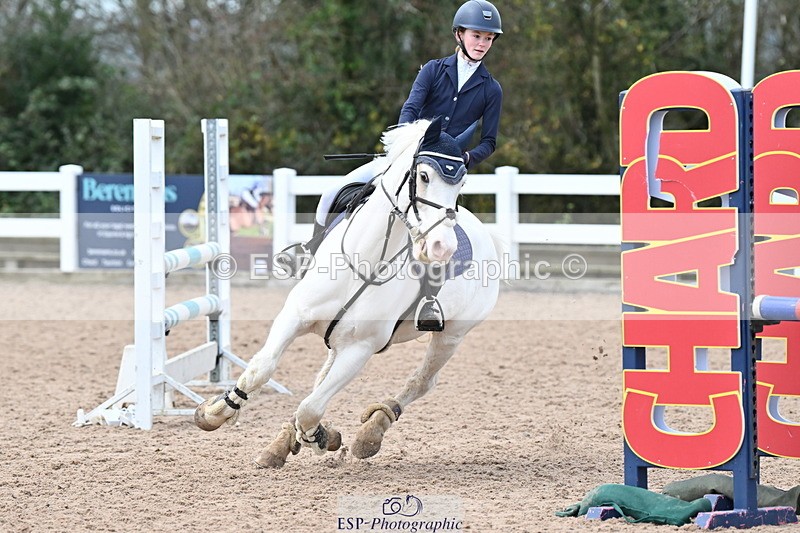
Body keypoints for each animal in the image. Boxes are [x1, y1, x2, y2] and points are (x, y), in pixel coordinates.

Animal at [194, 118, 503, 468]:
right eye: (423, 176)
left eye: (461, 183)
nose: (442, 248)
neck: (364, 260)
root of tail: (487, 235)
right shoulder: (295, 316)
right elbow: (263, 368)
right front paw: (215, 412)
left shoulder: (360, 348)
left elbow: (311, 408)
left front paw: (318, 436)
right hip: (338, 333)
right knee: (322, 376)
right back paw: (281, 444)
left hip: (451, 335)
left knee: (422, 381)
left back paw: (371, 432)